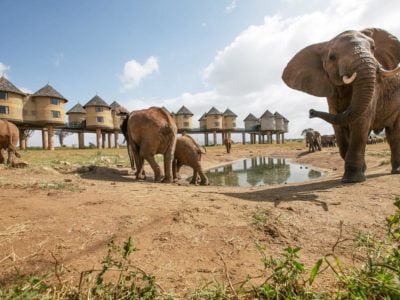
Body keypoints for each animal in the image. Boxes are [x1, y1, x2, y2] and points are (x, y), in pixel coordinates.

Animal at [282, 28, 400, 183]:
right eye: (332, 57)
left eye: (373, 48)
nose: (311, 112)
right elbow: (339, 128)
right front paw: (359, 172)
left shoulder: (376, 89)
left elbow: (360, 123)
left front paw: (353, 180)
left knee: (394, 135)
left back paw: (396, 171)